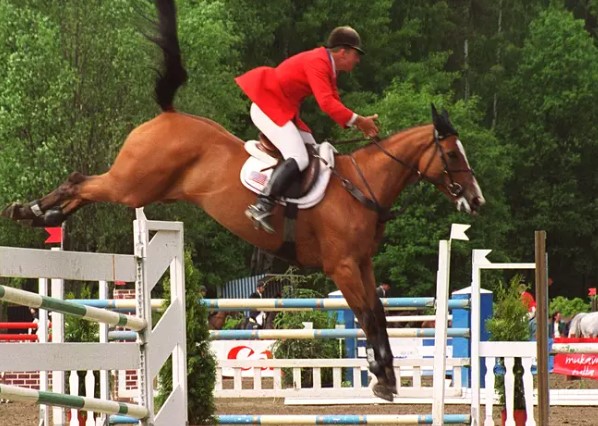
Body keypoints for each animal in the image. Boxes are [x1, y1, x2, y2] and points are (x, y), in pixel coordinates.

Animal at [1, 0, 488, 402]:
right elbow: (367, 314)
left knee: (82, 185)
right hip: (133, 184)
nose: (477, 200)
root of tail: (169, 115)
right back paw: (30, 211)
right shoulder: (343, 266)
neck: (362, 187)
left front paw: (382, 374)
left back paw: (40, 213)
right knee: (81, 181)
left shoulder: (361, 264)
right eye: (452, 155)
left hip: (144, 187)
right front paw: (384, 379)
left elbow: (378, 314)